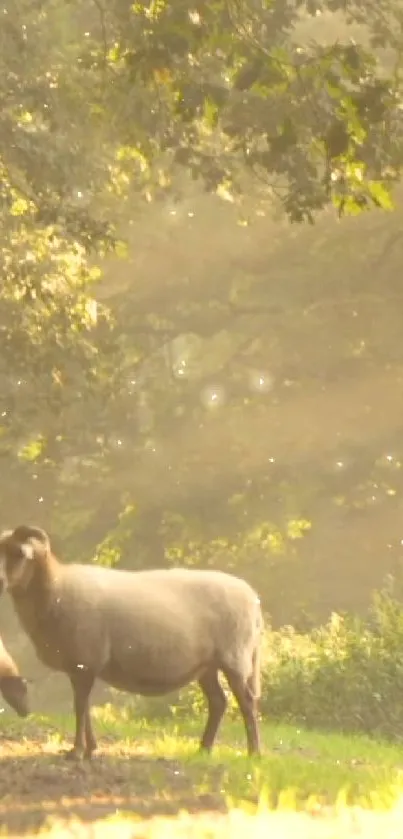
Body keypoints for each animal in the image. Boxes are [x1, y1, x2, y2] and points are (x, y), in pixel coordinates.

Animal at [0, 524, 264, 760]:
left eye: (18, 554)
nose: (0, 582)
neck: (55, 587)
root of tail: (253, 598)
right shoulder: (82, 666)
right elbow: (85, 707)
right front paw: (90, 749)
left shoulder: (84, 661)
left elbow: (80, 707)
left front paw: (77, 752)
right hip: (207, 665)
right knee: (219, 702)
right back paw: (204, 750)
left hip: (234, 658)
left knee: (247, 702)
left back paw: (254, 753)